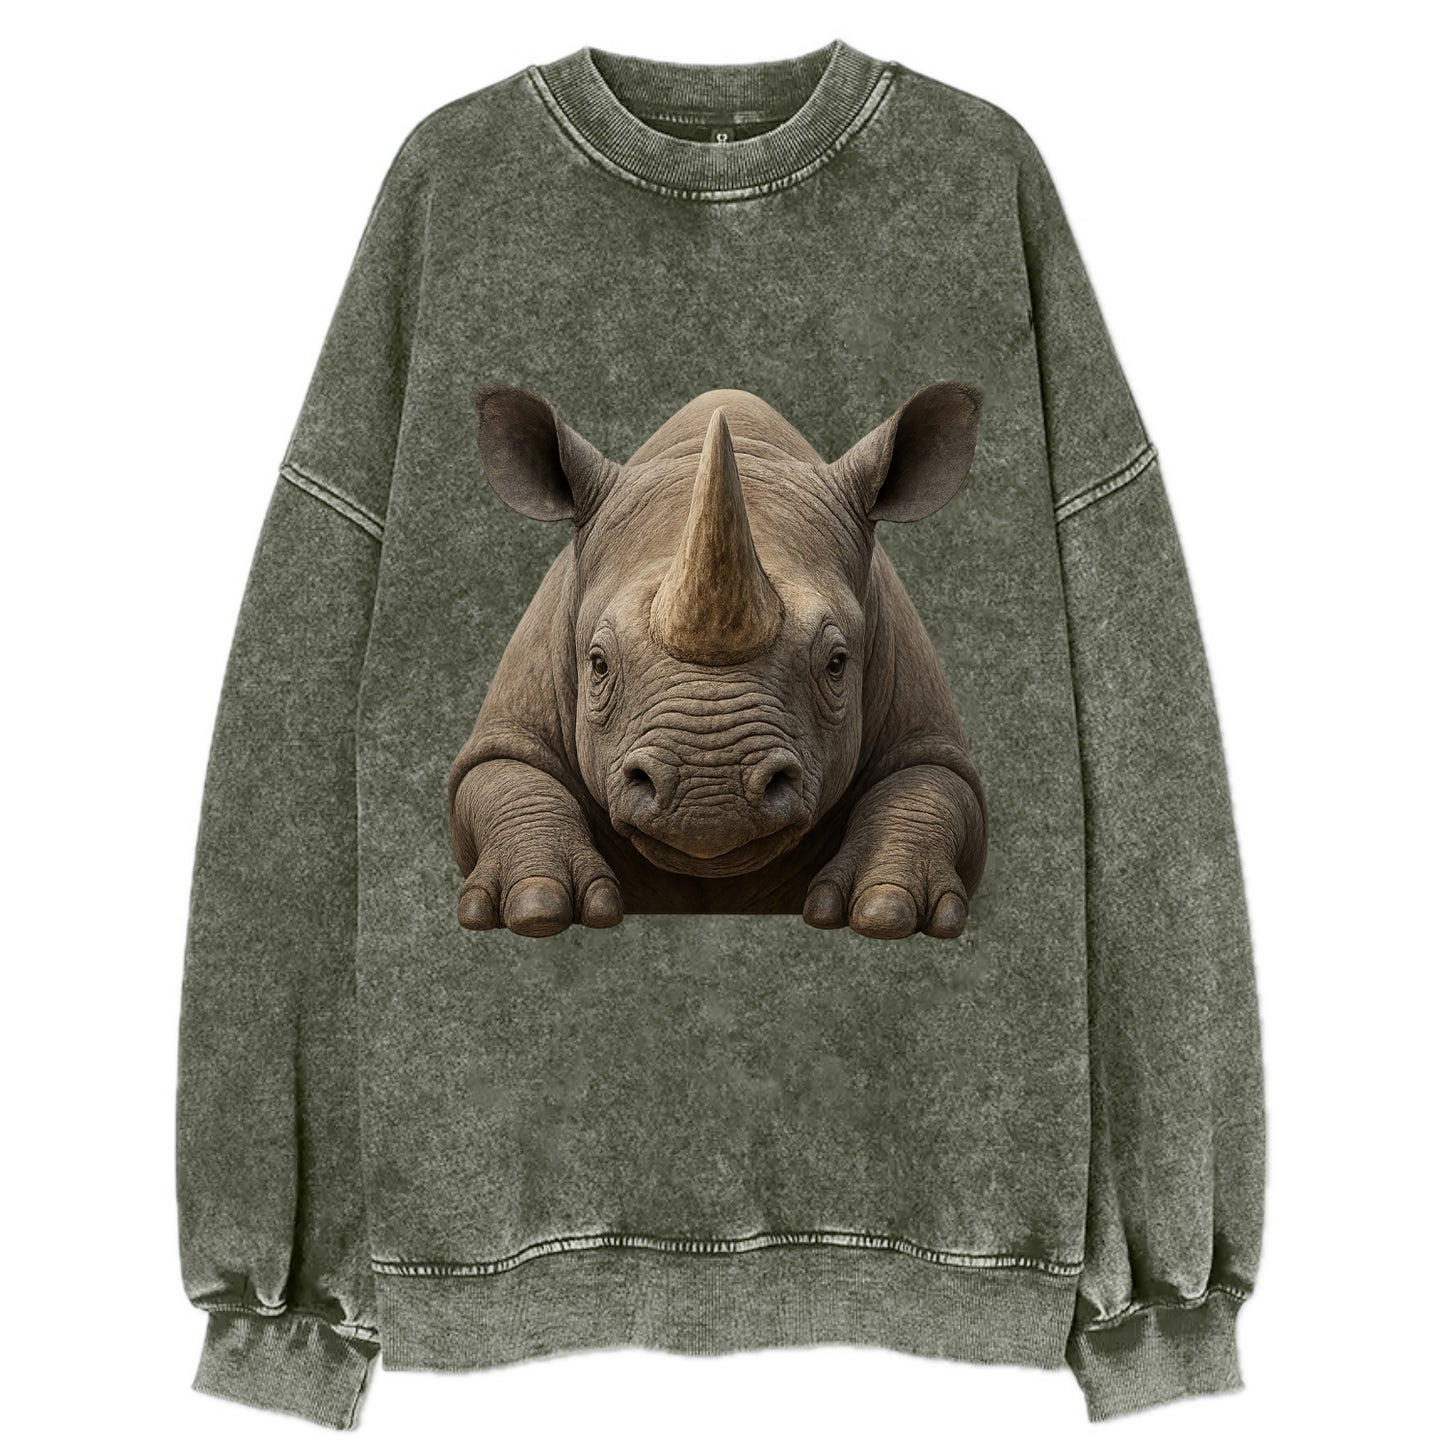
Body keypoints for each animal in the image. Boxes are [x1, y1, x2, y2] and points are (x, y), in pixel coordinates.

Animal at [447, 381, 989, 941]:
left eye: (837, 663)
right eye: (597, 664)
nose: (710, 796)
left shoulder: (922, 722)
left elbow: (930, 784)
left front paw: (886, 911)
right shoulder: (512, 721)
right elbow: (504, 774)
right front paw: (536, 907)